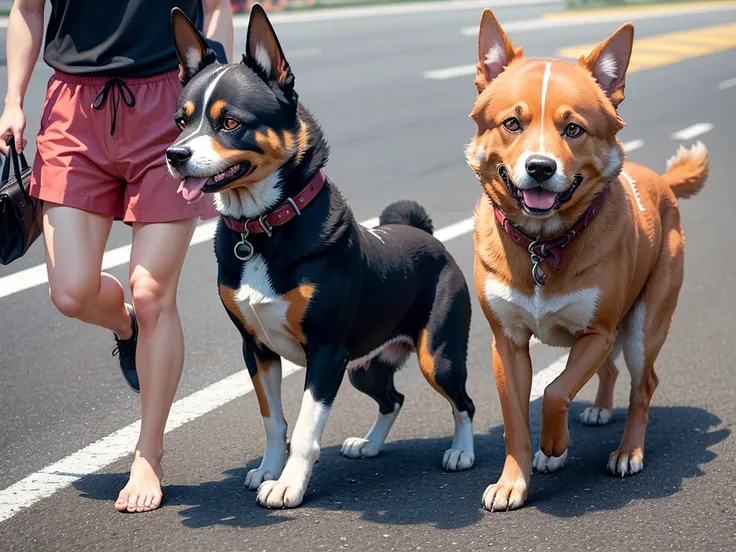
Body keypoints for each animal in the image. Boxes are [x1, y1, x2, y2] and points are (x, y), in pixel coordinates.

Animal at [165, 6, 478, 512]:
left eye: (229, 123)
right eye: (181, 121)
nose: (175, 155)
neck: (262, 228)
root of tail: (425, 235)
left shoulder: (326, 353)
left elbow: (307, 427)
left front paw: (288, 485)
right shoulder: (257, 350)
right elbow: (274, 422)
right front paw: (269, 470)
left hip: (438, 355)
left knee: (463, 402)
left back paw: (461, 452)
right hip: (365, 366)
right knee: (393, 399)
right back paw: (369, 444)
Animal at [466, 8, 708, 512]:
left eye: (573, 128)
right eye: (512, 123)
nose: (540, 168)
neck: (542, 243)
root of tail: (663, 182)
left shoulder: (597, 331)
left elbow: (556, 391)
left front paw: (555, 444)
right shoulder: (507, 344)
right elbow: (516, 420)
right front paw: (513, 481)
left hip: (643, 326)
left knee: (643, 384)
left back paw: (628, 451)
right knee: (610, 370)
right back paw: (597, 410)